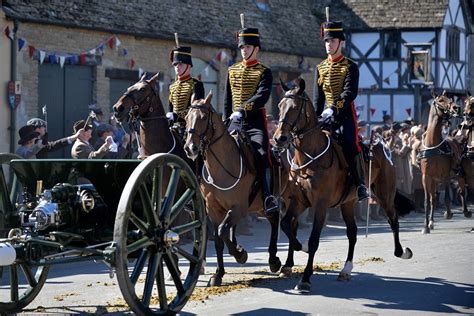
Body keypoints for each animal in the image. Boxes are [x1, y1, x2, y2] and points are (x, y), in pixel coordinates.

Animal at [183, 91, 290, 286]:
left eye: (203, 118)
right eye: (187, 117)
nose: (190, 148)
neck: (222, 167)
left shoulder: (239, 207)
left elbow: (222, 231)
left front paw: (239, 254)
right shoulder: (214, 209)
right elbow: (219, 238)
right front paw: (218, 274)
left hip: (267, 202)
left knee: (275, 219)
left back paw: (274, 260)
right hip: (256, 207)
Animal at [272, 79, 412, 294]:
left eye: (294, 108)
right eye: (279, 106)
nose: (279, 138)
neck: (310, 157)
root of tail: (384, 147)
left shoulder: (320, 205)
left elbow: (313, 240)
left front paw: (305, 279)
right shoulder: (298, 201)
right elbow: (287, 225)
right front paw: (295, 255)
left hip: (384, 194)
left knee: (393, 219)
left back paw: (401, 252)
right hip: (347, 202)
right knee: (352, 233)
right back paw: (346, 269)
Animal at [418, 91, 470, 235]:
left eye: (449, 98)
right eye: (441, 100)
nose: (456, 108)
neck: (433, 146)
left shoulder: (445, 175)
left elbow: (447, 196)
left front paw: (448, 213)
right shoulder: (426, 177)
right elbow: (427, 201)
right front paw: (426, 226)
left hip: (458, 173)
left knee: (462, 190)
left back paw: (466, 211)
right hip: (434, 180)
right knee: (434, 199)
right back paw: (431, 222)